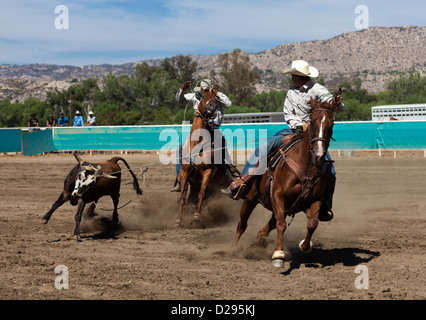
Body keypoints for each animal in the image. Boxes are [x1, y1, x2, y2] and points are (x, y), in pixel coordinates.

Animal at [175, 86, 231, 226]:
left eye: (215, 98)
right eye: (204, 97)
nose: (213, 107)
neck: (197, 143)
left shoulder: (207, 171)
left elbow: (202, 194)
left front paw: (197, 216)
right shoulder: (184, 173)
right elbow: (182, 197)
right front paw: (178, 219)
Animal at [230, 89, 342, 268]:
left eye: (331, 124)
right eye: (312, 122)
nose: (319, 155)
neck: (305, 166)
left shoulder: (315, 200)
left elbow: (312, 223)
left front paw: (304, 245)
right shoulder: (277, 195)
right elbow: (282, 224)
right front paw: (278, 255)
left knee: (264, 229)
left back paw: (257, 246)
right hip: (250, 199)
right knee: (242, 224)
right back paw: (233, 250)